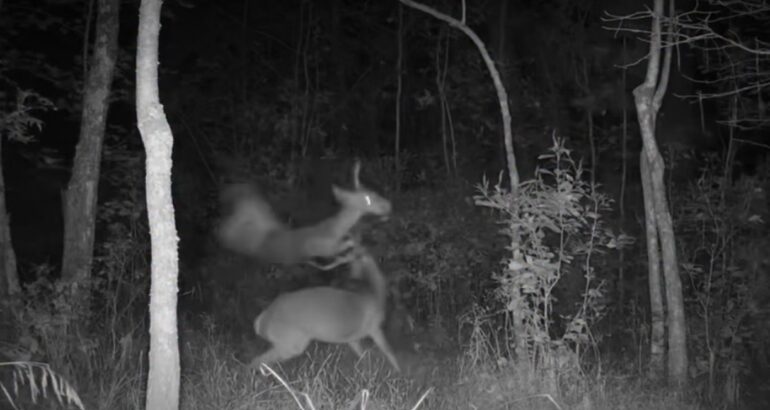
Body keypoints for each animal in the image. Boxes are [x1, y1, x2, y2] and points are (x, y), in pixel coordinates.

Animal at [216, 160, 391, 267]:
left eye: (374, 192)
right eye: (368, 199)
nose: (388, 205)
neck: (331, 230)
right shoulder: (323, 248)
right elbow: (343, 247)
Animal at [249, 245, 401, 372]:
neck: (376, 293)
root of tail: (262, 321)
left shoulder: (352, 338)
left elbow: (363, 356)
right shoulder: (374, 327)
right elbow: (389, 351)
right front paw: (399, 373)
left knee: (259, 361)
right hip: (291, 341)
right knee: (258, 360)